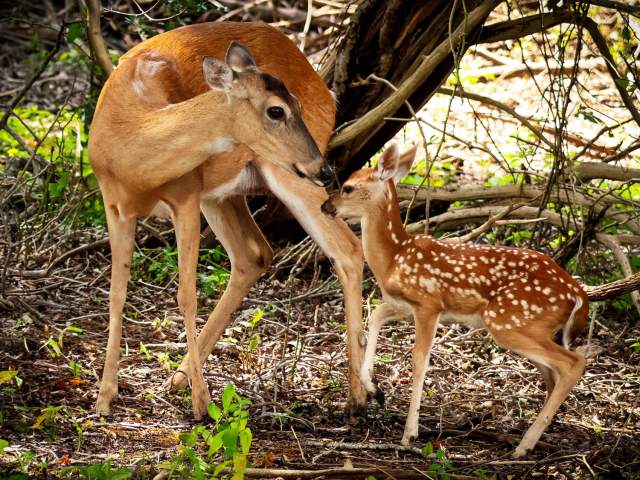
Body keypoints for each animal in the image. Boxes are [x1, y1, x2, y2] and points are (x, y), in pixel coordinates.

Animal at [89, 21, 366, 421]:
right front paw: (104, 397)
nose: (324, 169)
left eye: (295, 106)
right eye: (276, 111)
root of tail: (324, 86)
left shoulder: (187, 195)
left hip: (279, 175)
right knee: (254, 254)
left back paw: (359, 396)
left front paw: (201, 403)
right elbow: (115, 294)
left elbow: (186, 295)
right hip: (223, 194)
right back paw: (175, 379)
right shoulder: (114, 205)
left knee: (347, 249)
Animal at [321, 144, 588, 457]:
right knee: (553, 373)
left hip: (510, 322)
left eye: (348, 187)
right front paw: (376, 390)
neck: (394, 258)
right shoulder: (400, 304)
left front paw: (409, 434)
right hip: (528, 328)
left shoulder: (429, 303)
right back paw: (533, 436)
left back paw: (523, 446)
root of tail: (578, 294)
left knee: (573, 363)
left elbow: (419, 360)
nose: (325, 206)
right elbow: (372, 319)